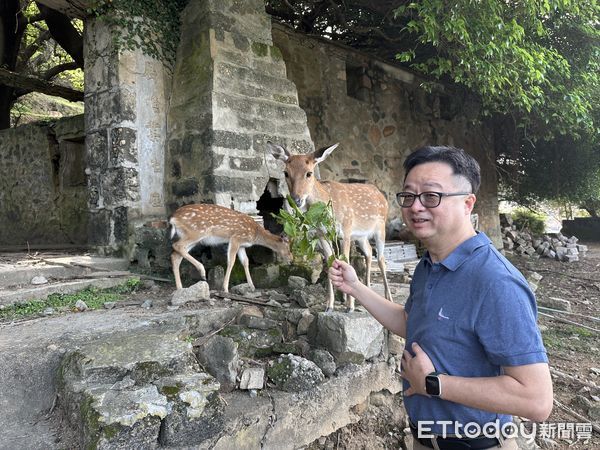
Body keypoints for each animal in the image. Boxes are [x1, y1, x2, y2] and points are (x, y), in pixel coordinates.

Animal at [268, 142, 394, 312]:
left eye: (309, 173)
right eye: (286, 173)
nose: (296, 199)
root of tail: (382, 196)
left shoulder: (346, 230)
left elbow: (346, 261)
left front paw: (349, 306)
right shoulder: (322, 234)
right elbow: (330, 262)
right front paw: (330, 305)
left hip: (380, 227)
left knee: (381, 259)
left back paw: (388, 298)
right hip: (360, 236)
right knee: (368, 252)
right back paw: (366, 291)